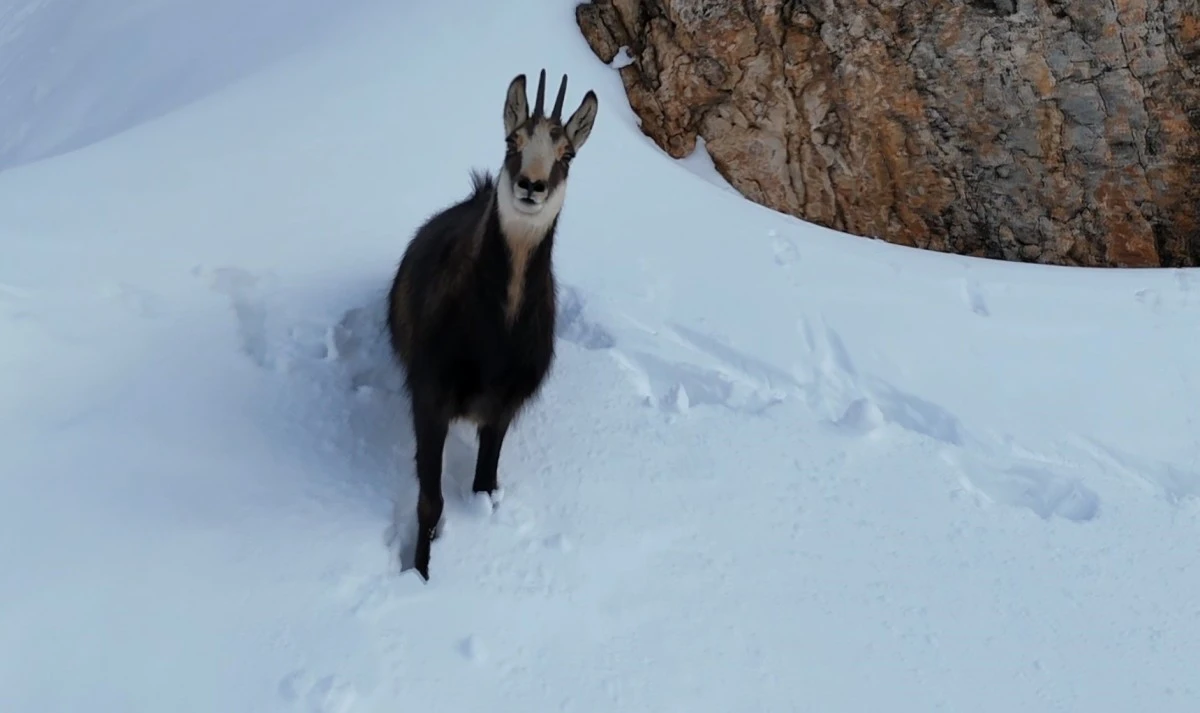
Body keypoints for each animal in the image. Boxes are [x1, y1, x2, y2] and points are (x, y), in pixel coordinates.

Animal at [386, 68, 597, 576]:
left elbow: (485, 484)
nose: (530, 185)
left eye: (567, 154)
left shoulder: (503, 407)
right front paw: (419, 574)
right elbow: (430, 502)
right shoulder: (430, 396)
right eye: (512, 140)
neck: (495, 336)